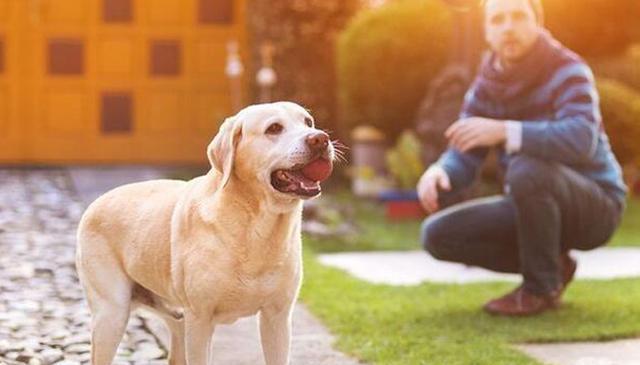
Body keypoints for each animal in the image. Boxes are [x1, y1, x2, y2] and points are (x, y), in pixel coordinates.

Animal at [75, 101, 336, 364]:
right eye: (274, 128)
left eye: (308, 123)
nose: (320, 139)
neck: (254, 228)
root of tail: (96, 202)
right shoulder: (200, 319)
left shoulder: (277, 318)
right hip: (113, 315)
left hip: (175, 317)